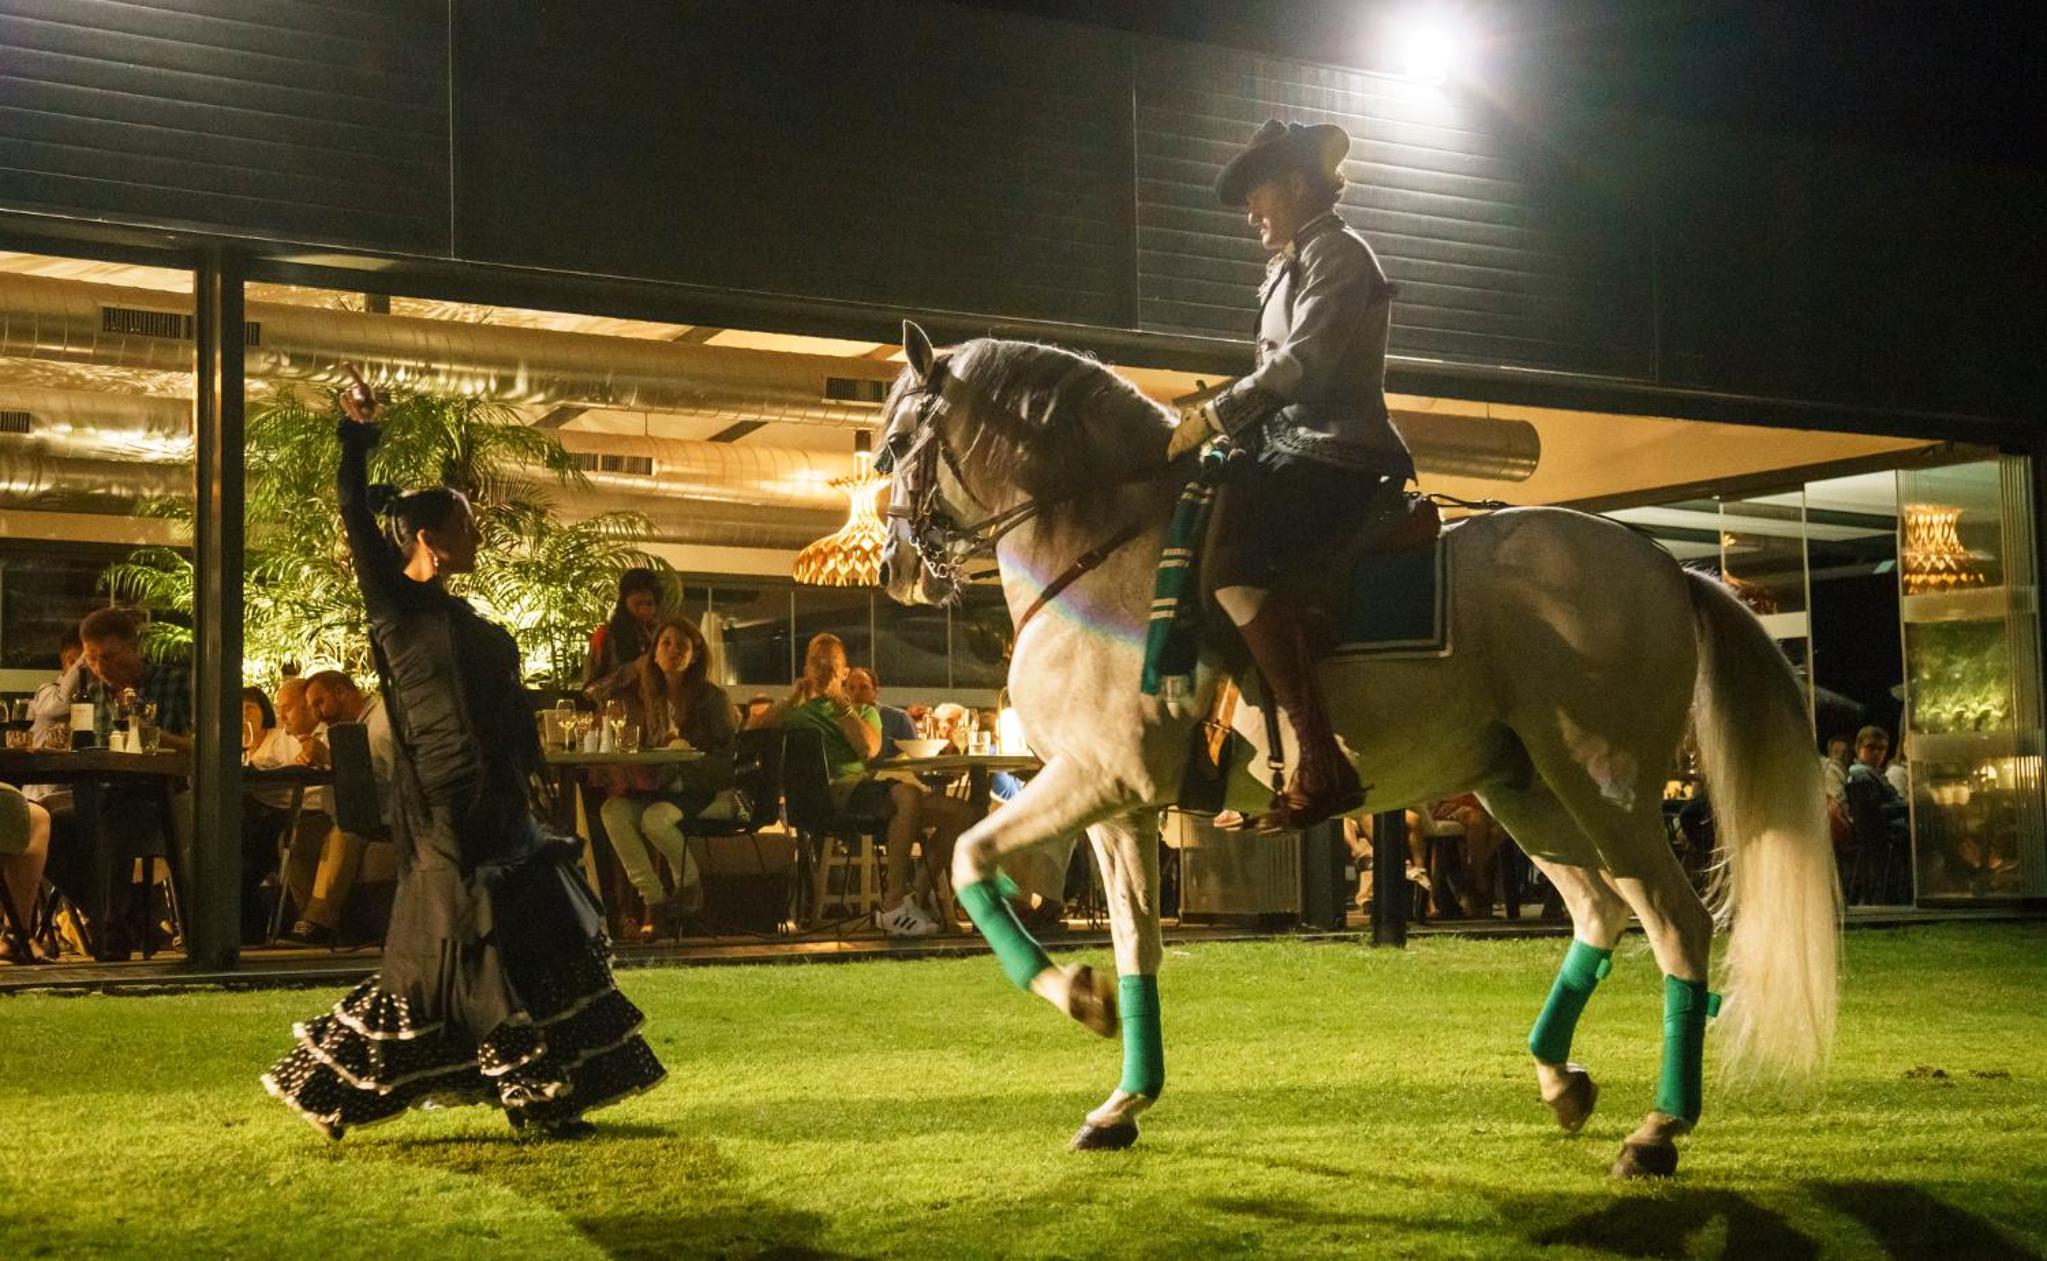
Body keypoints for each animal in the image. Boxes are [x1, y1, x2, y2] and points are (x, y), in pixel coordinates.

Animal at [874, 321, 1839, 1178]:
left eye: (892, 442)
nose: (894, 568)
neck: (1101, 555)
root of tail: (1667, 565)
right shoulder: (1123, 805)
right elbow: (1137, 946)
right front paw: (1121, 1101)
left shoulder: (1100, 779)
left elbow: (968, 858)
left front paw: (1075, 996)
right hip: (1524, 789)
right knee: (1600, 911)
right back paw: (1560, 1078)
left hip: (1606, 784)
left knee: (1674, 923)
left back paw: (1657, 1130)